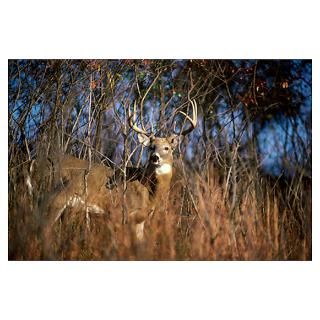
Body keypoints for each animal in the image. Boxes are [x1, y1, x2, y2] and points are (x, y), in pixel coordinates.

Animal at [41, 97, 196, 250]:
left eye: (167, 148)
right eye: (151, 147)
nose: (154, 157)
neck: (149, 192)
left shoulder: (140, 220)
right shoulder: (123, 212)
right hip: (56, 196)